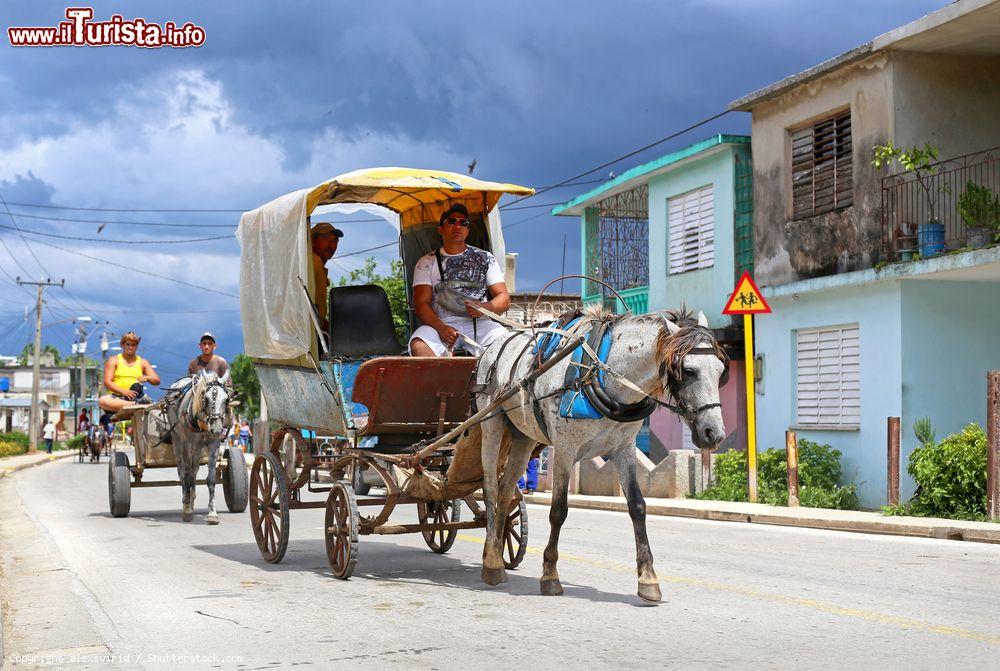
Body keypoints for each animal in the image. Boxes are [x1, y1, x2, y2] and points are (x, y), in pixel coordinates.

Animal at [476, 308, 728, 600]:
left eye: (721, 371)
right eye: (689, 371)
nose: (714, 433)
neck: (605, 375)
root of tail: (491, 346)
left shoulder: (624, 450)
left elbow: (637, 507)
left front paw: (648, 579)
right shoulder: (564, 449)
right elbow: (558, 510)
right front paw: (550, 575)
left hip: (523, 437)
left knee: (506, 491)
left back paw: (494, 553)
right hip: (491, 423)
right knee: (491, 488)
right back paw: (491, 563)